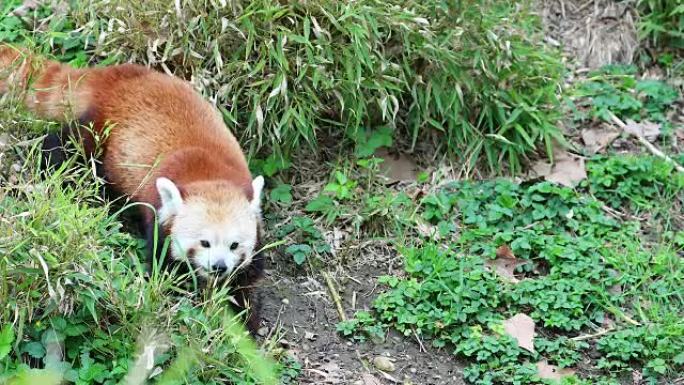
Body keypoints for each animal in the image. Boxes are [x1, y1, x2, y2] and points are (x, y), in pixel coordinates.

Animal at [0, 45, 264, 332]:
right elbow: (164, 267)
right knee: (67, 145)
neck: (208, 174)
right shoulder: (158, 212)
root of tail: (110, 74)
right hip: (99, 131)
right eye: (204, 242)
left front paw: (244, 318)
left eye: (234, 245)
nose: (219, 266)